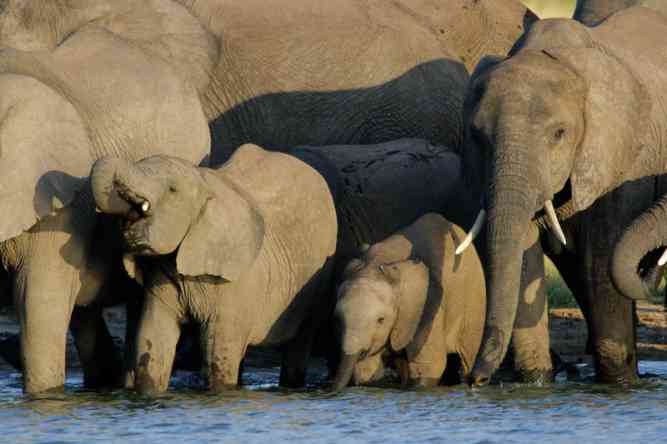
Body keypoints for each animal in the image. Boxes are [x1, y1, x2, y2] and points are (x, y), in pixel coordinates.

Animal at [332, 213, 485, 390]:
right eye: (337, 320)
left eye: (381, 320)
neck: (379, 265)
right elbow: (366, 371)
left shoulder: (427, 307)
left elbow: (429, 366)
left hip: (474, 301)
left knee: (468, 356)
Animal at [460, 7, 667, 385]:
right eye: (477, 136)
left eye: (559, 134)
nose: (474, 380)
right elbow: (523, 251)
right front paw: (535, 382)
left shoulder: (619, 153)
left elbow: (602, 258)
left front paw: (618, 384)